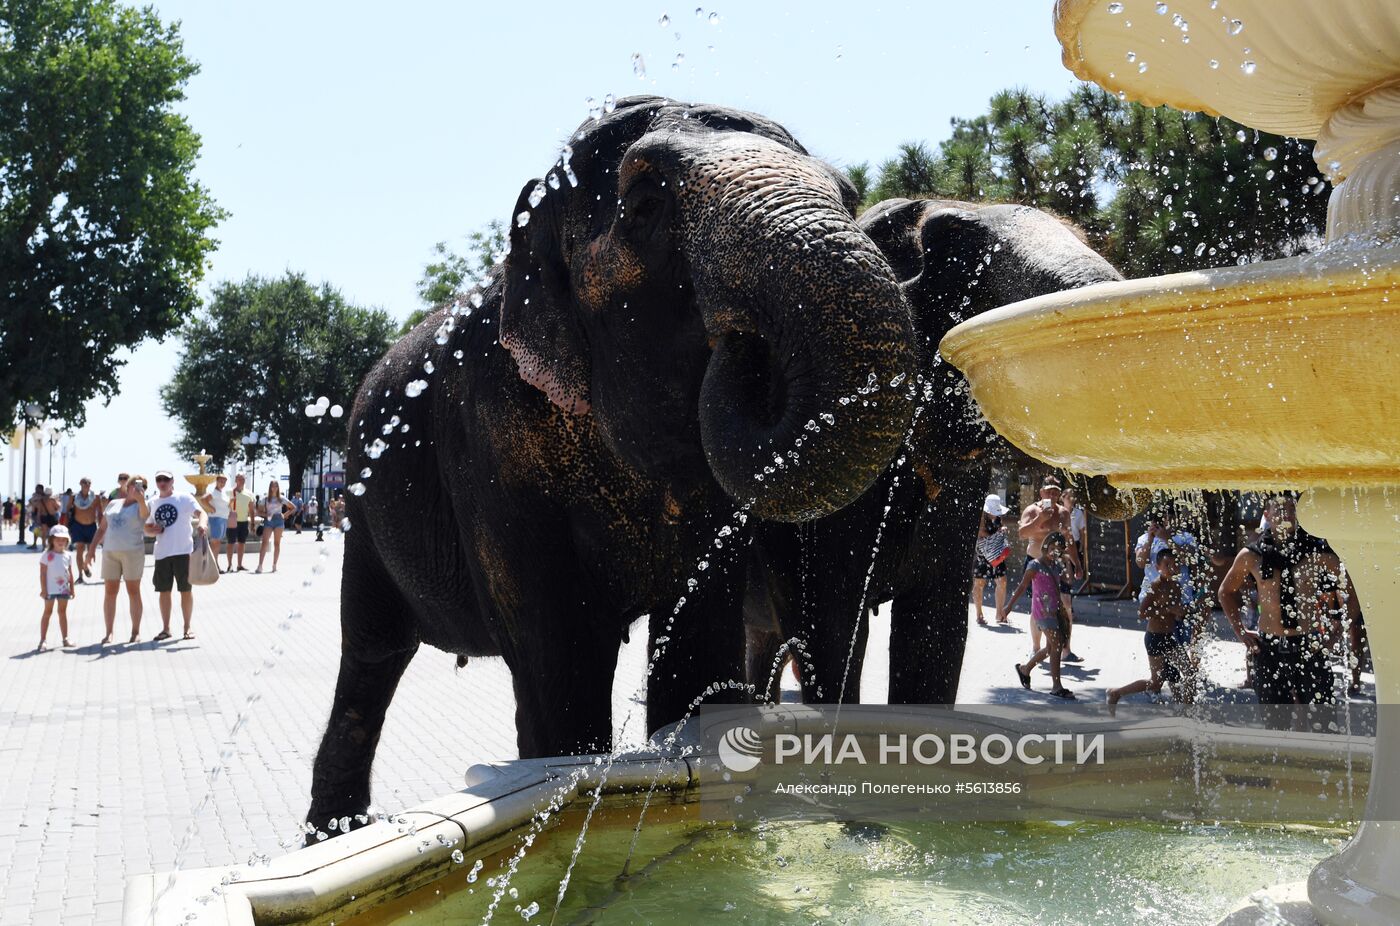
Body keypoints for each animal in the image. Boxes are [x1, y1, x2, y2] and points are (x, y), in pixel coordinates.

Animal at [308, 95, 918, 829]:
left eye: (850, 198)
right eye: (645, 203)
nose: (742, 345)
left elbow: (697, 641)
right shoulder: (488, 438)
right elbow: (560, 657)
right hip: (359, 512)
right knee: (371, 657)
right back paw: (335, 830)